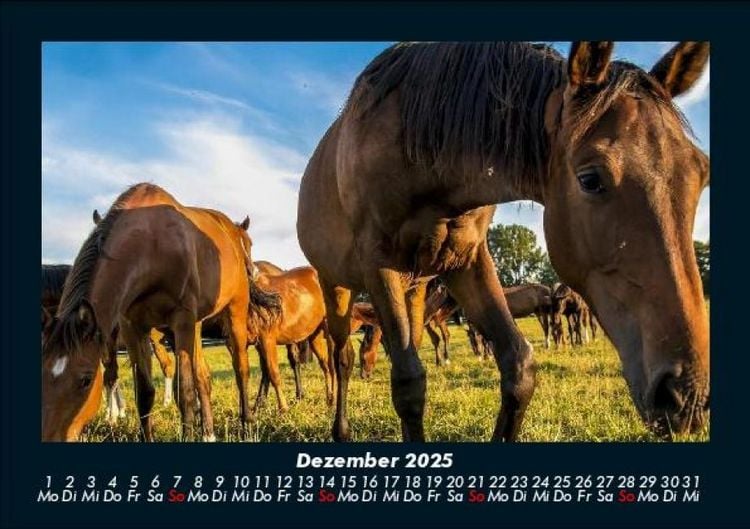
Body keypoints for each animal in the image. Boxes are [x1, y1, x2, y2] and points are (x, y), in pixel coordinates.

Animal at [42, 183, 267, 441]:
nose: (49, 437)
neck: (152, 245)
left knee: (240, 369)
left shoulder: (181, 320)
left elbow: (185, 391)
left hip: (234, 312)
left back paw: (248, 425)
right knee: (203, 376)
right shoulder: (133, 327)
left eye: (86, 380)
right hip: (194, 325)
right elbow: (145, 393)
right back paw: (208, 433)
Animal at [248, 264, 335, 412]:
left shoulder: (267, 339)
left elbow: (273, 373)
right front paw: (258, 406)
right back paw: (329, 399)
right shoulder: (259, 344)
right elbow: (265, 371)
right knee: (325, 364)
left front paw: (283, 408)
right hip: (314, 335)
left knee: (333, 365)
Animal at [297, 41, 710, 441]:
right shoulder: (378, 264)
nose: (686, 395)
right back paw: (341, 431)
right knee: (342, 357)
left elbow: (519, 367)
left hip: (413, 288)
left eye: (702, 173)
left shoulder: (466, 261)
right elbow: (408, 384)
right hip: (336, 286)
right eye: (590, 179)